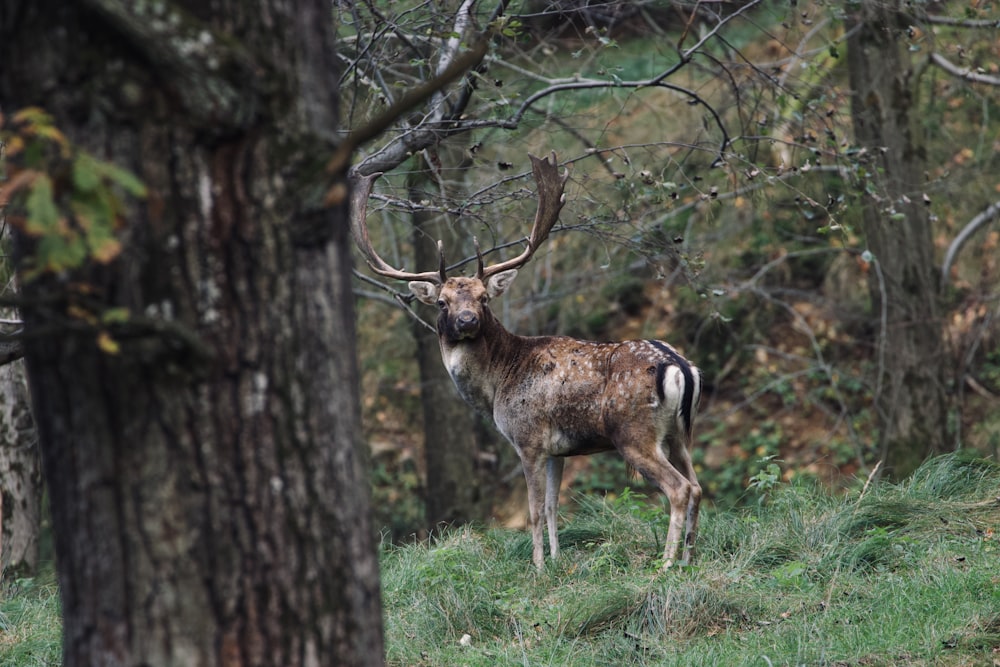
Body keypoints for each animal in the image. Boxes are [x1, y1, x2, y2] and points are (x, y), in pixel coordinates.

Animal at [352, 154, 704, 572]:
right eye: (442, 302)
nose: (467, 320)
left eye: (484, 297)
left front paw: (537, 567)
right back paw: (688, 557)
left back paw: (665, 563)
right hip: (679, 432)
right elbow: (553, 507)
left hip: (634, 433)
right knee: (698, 485)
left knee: (679, 488)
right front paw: (556, 559)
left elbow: (534, 511)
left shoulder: (528, 438)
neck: (497, 385)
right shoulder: (558, 450)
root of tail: (679, 366)